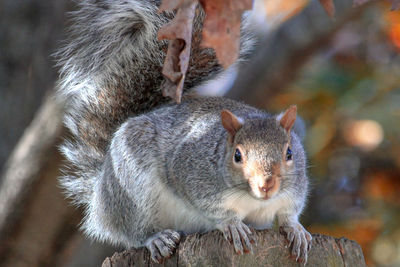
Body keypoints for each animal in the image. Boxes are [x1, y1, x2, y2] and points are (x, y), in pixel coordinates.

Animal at [55, 0, 312, 264]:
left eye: (289, 153)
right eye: (237, 155)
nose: (266, 185)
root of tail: (99, 194)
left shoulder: (295, 190)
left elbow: (289, 213)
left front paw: (296, 229)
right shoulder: (191, 174)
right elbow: (214, 209)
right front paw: (232, 224)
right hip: (132, 189)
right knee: (134, 231)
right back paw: (156, 239)